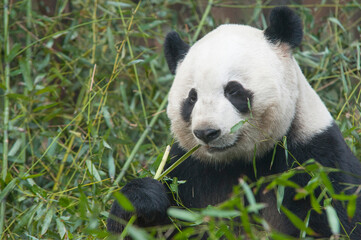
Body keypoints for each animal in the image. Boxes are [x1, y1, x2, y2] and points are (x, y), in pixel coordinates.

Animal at [107, 6, 360, 239]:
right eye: (192, 98)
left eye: (233, 91)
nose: (207, 132)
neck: (238, 162)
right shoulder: (189, 170)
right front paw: (142, 200)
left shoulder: (314, 163)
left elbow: (332, 221)